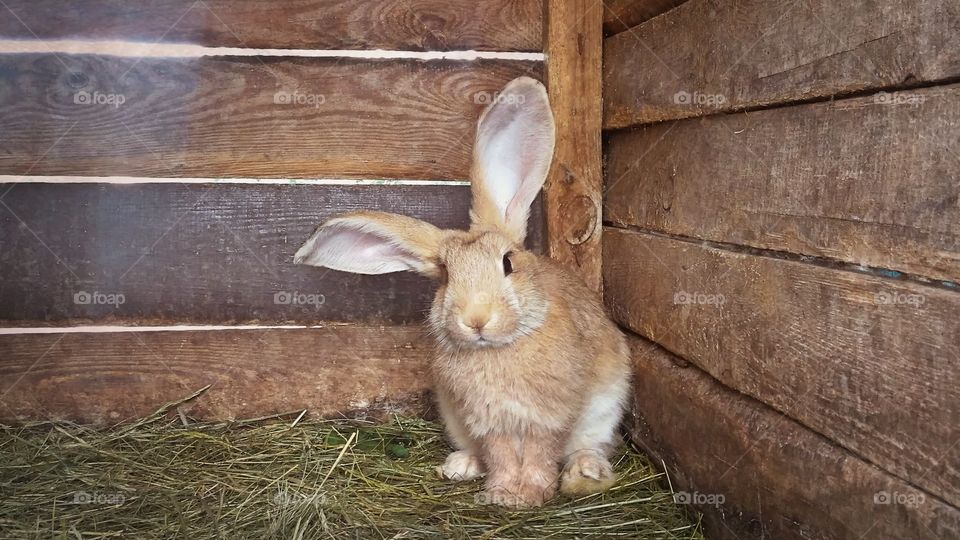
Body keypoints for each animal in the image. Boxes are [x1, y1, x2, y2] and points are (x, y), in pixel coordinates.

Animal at [294, 76, 631, 508]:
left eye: (507, 263)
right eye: (445, 276)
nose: (476, 319)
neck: (499, 350)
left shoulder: (548, 418)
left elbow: (541, 454)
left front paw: (529, 497)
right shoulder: (487, 423)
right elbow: (502, 455)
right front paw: (502, 494)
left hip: (605, 408)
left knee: (590, 445)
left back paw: (586, 472)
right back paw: (461, 466)